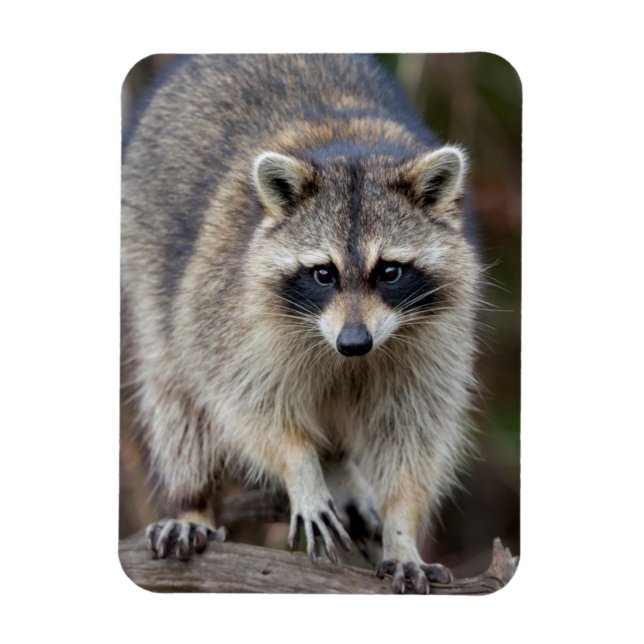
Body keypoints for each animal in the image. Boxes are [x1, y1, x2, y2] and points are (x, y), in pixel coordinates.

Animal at [121, 54, 481, 594]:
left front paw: (402, 529)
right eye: (323, 274)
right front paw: (301, 469)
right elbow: (248, 404)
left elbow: (413, 433)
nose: (354, 343)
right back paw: (193, 501)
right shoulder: (227, 310)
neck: (350, 149)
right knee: (176, 398)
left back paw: (340, 469)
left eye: (389, 271)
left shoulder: (436, 337)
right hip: (149, 260)